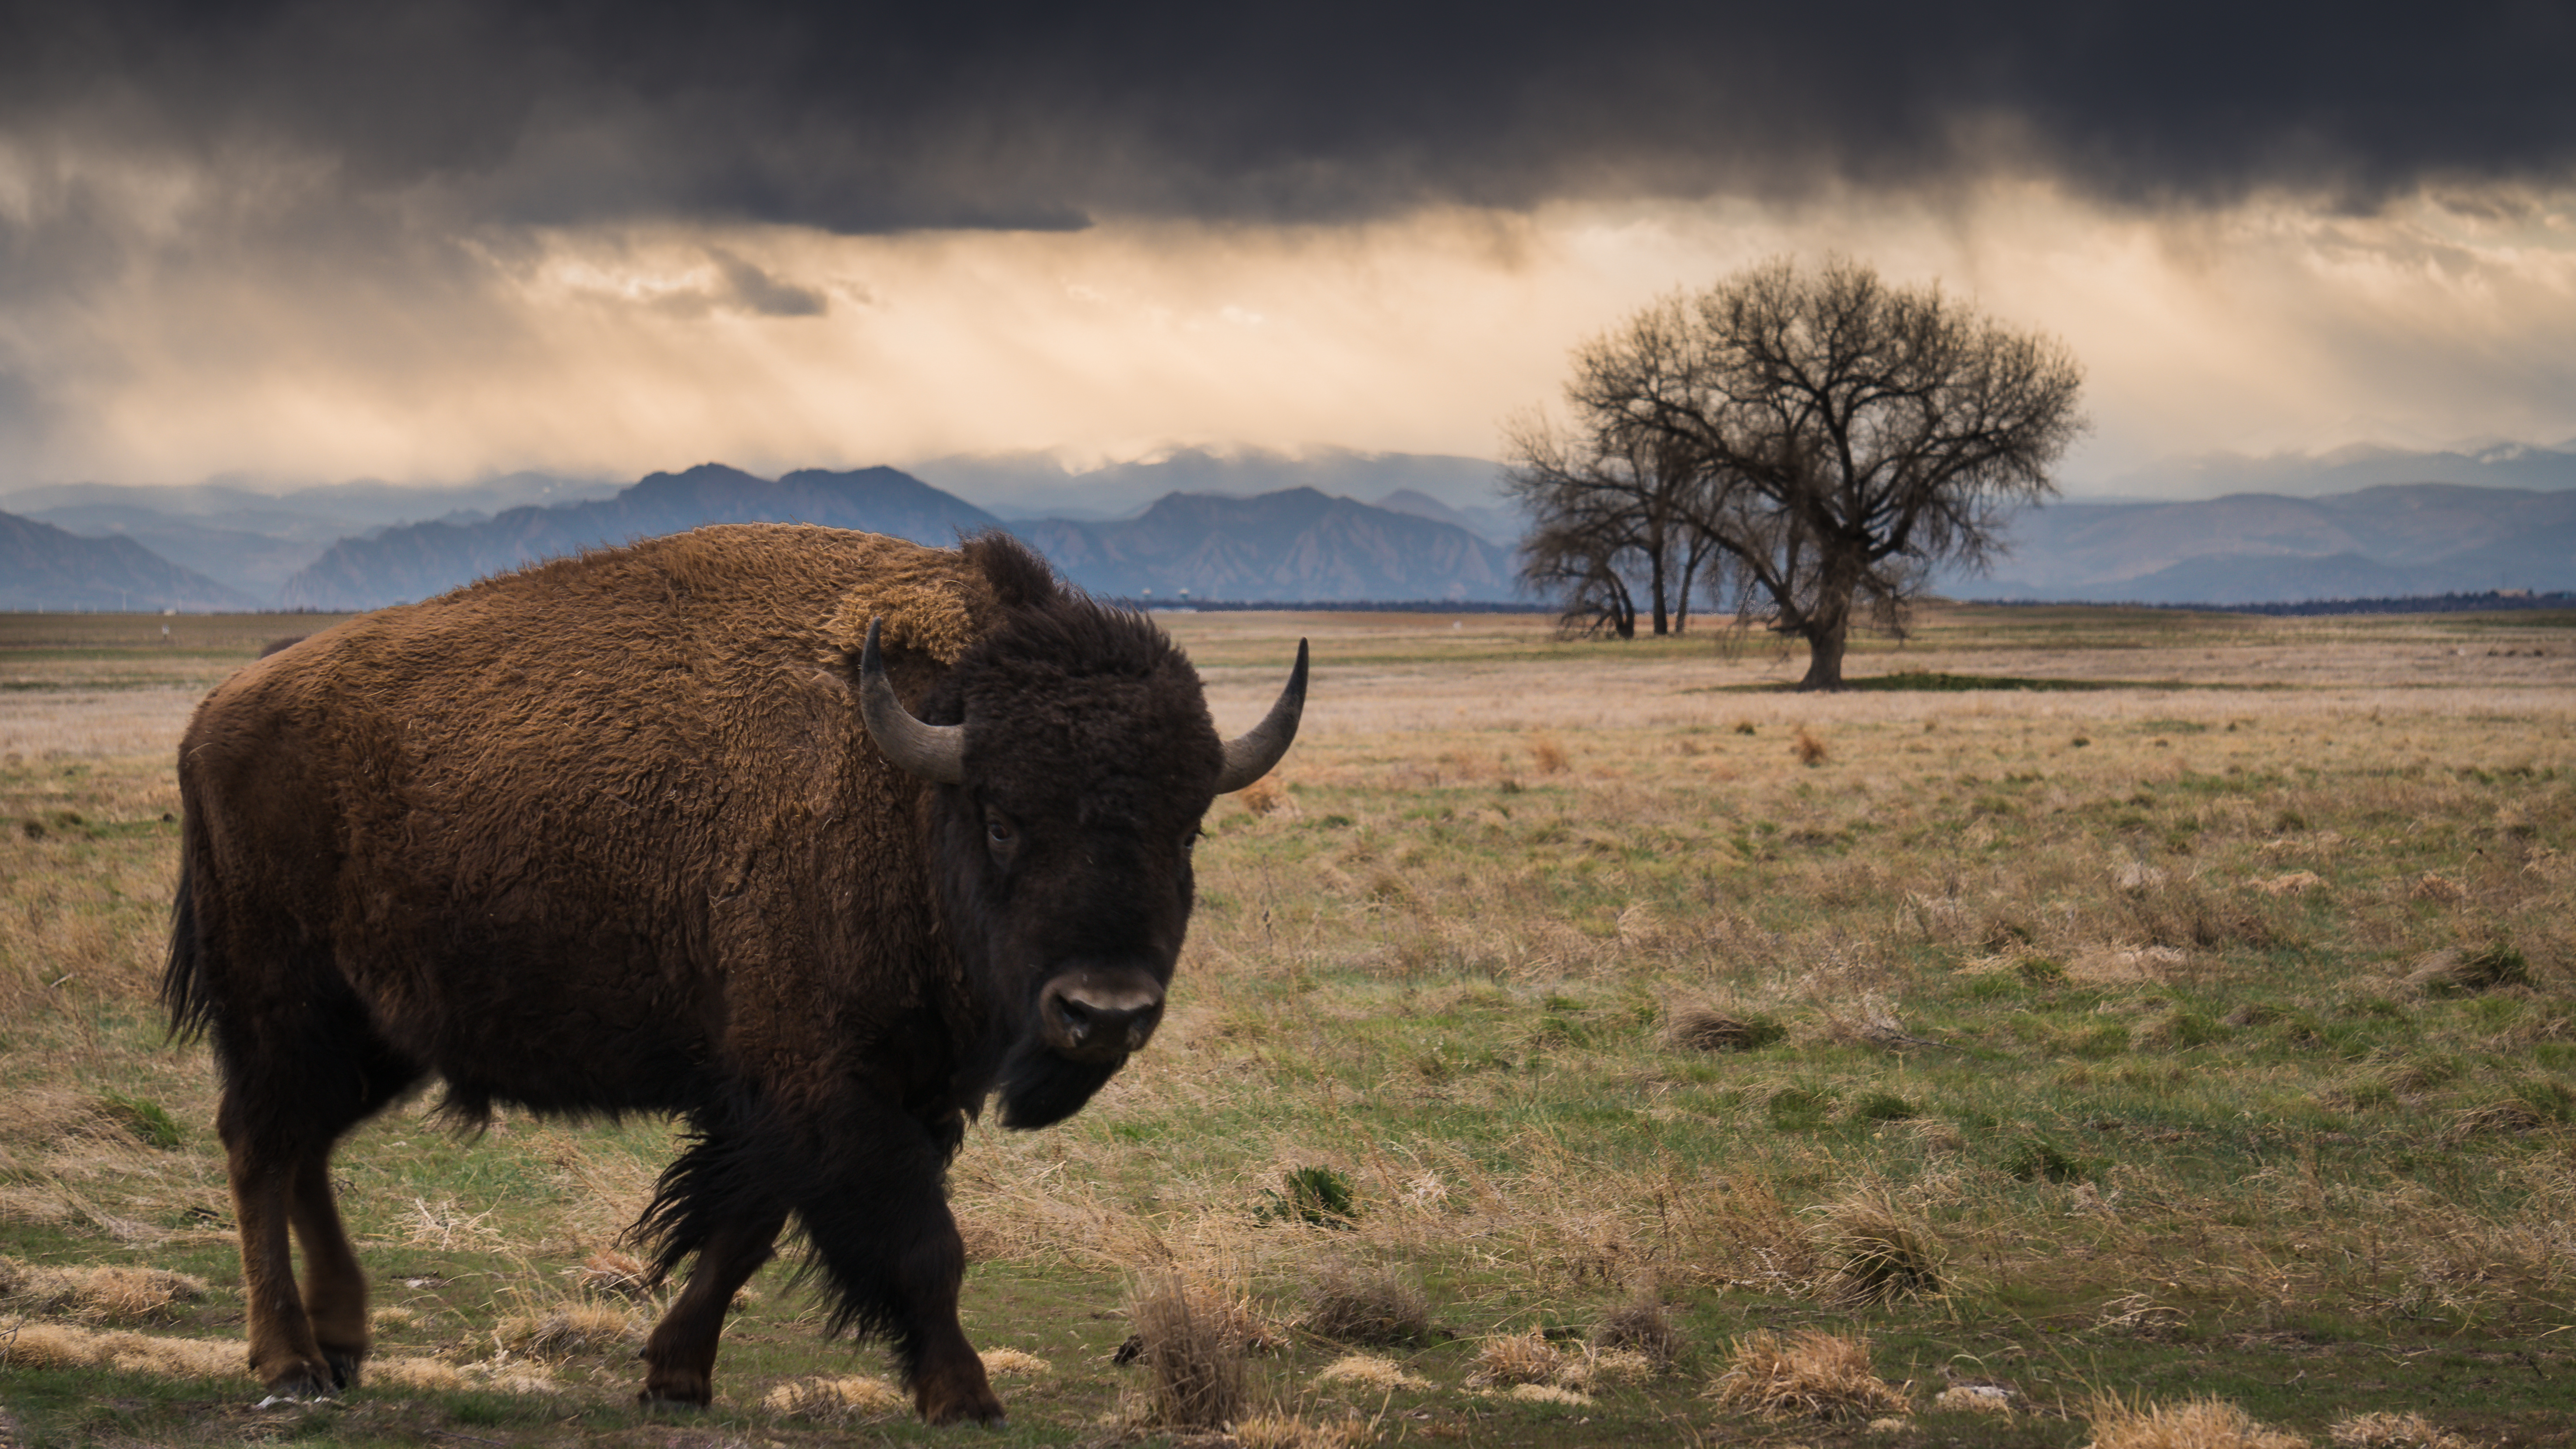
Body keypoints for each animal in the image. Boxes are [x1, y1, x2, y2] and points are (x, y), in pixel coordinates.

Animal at [155, 520, 1308, 1423]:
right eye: (1003, 817)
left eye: (1187, 827)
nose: (1102, 1012)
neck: (907, 779)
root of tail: (215, 708)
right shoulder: (826, 1083)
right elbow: (919, 1243)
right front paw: (966, 1394)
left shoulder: (851, 1089)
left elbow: (744, 1226)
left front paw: (675, 1374)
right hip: (283, 1003)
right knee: (261, 1146)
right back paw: (292, 1363)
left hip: (380, 1032)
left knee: (305, 1147)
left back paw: (346, 1342)